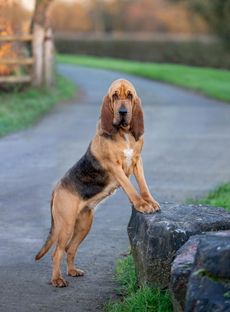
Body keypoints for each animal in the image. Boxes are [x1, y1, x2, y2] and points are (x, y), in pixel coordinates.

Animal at [35, 78, 159, 288]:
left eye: (130, 96)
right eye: (115, 96)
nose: (123, 112)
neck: (124, 133)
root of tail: (56, 188)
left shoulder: (137, 161)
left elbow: (143, 186)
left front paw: (149, 202)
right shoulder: (115, 167)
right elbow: (130, 188)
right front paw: (141, 204)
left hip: (85, 224)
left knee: (70, 249)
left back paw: (72, 271)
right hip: (66, 225)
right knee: (56, 252)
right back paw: (57, 279)